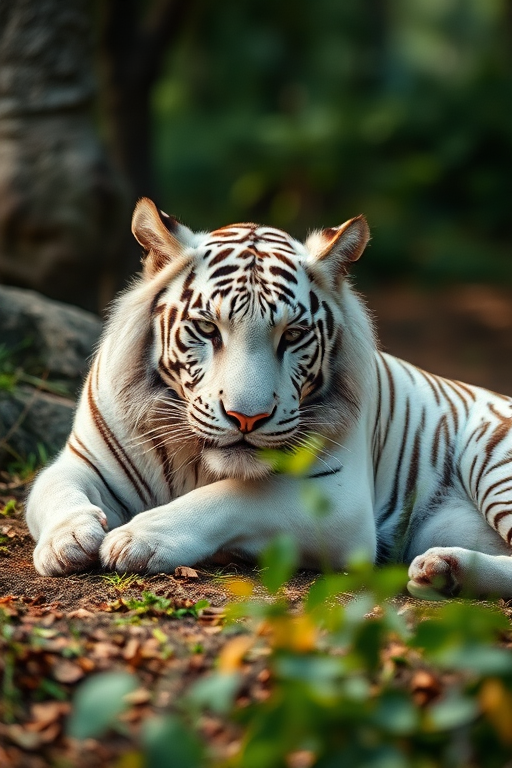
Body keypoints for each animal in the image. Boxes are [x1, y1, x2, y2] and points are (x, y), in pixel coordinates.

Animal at [26, 197, 512, 598]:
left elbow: (232, 497)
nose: (246, 418)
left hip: (492, 458)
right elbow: (55, 491)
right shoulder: (82, 461)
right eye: (208, 328)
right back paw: (443, 571)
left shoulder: (338, 496)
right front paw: (68, 542)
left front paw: (138, 538)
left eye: (292, 335)